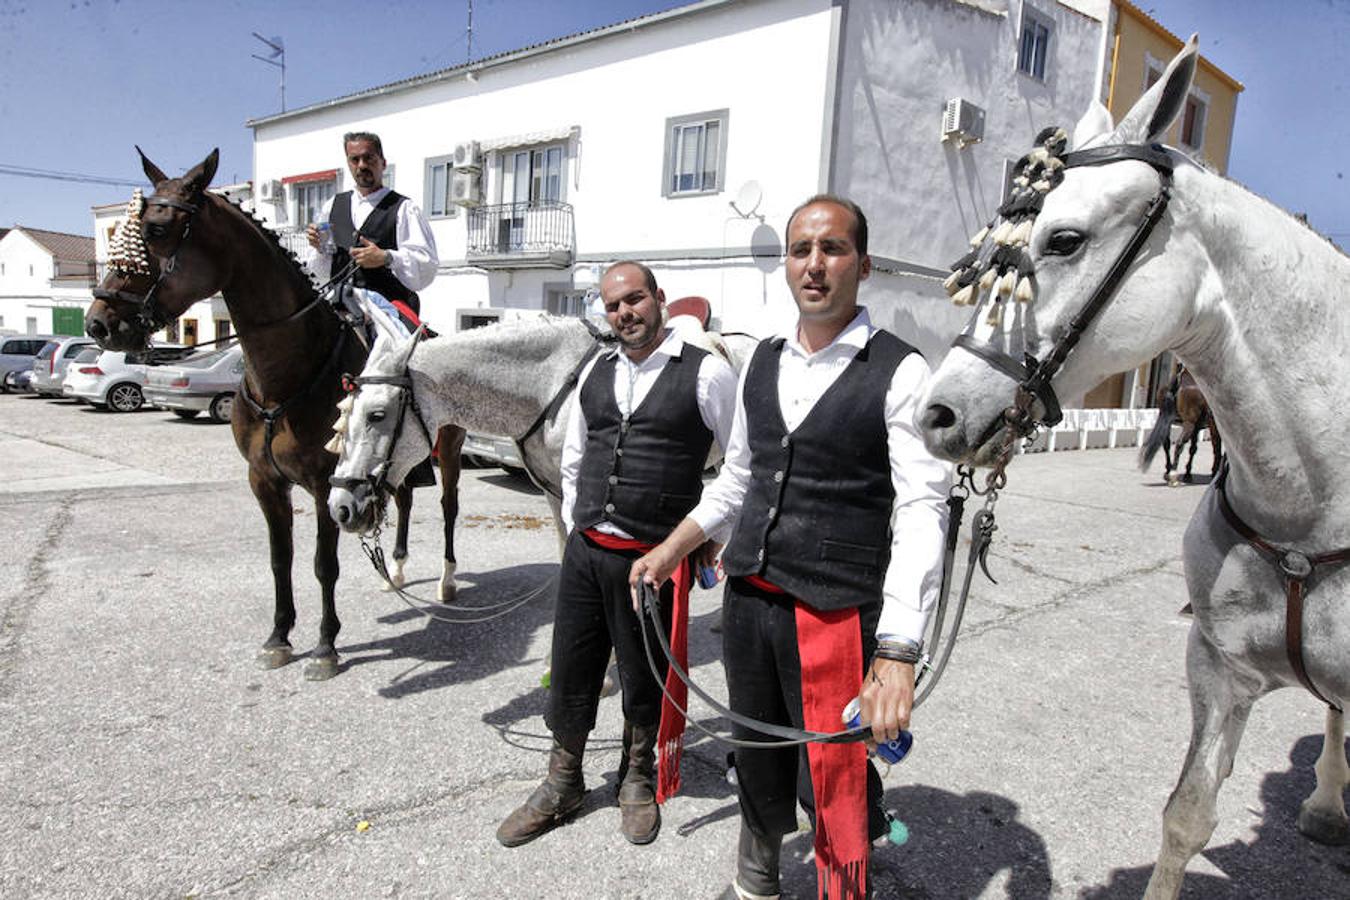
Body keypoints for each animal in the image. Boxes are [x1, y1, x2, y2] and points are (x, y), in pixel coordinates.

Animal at [85, 151, 464, 680]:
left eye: (156, 230)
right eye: (129, 227)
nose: (100, 322)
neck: (288, 372)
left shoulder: (327, 483)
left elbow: (324, 565)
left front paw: (325, 647)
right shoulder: (264, 480)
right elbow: (279, 559)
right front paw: (279, 637)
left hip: (447, 452)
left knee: (448, 508)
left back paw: (446, 580)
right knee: (405, 498)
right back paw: (397, 569)